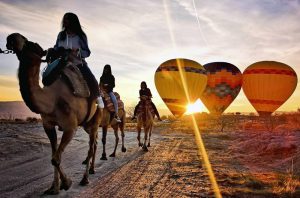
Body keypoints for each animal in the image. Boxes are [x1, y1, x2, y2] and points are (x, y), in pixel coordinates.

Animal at [5, 33, 101, 194]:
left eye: (33, 45)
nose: (12, 37)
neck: (52, 99)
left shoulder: (70, 127)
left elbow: (55, 158)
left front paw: (67, 183)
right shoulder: (48, 125)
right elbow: (54, 155)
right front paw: (54, 187)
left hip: (94, 121)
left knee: (90, 147)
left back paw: (85, 178)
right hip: (86, 124)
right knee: (93, 144)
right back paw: (92, 170)